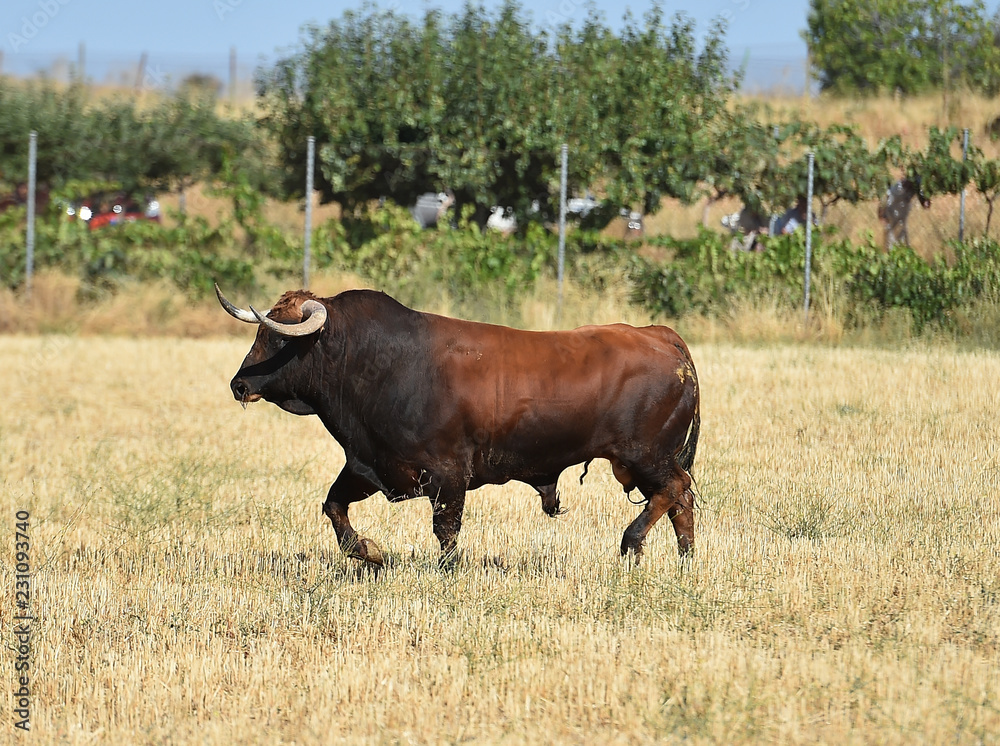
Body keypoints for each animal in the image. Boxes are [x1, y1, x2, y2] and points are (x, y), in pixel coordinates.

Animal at [217, 284, 704, 564]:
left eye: (277, 337)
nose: (238, 385)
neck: (376, 361)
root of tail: (661, 335)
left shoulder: (448, 474)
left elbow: (446, 531)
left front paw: (446, 571)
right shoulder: (367, 466)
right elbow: (334, 506)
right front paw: (369, 553)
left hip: (645, 455)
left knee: (674, 489)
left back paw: (632, 542)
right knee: (680, 501)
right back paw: (685, 560)